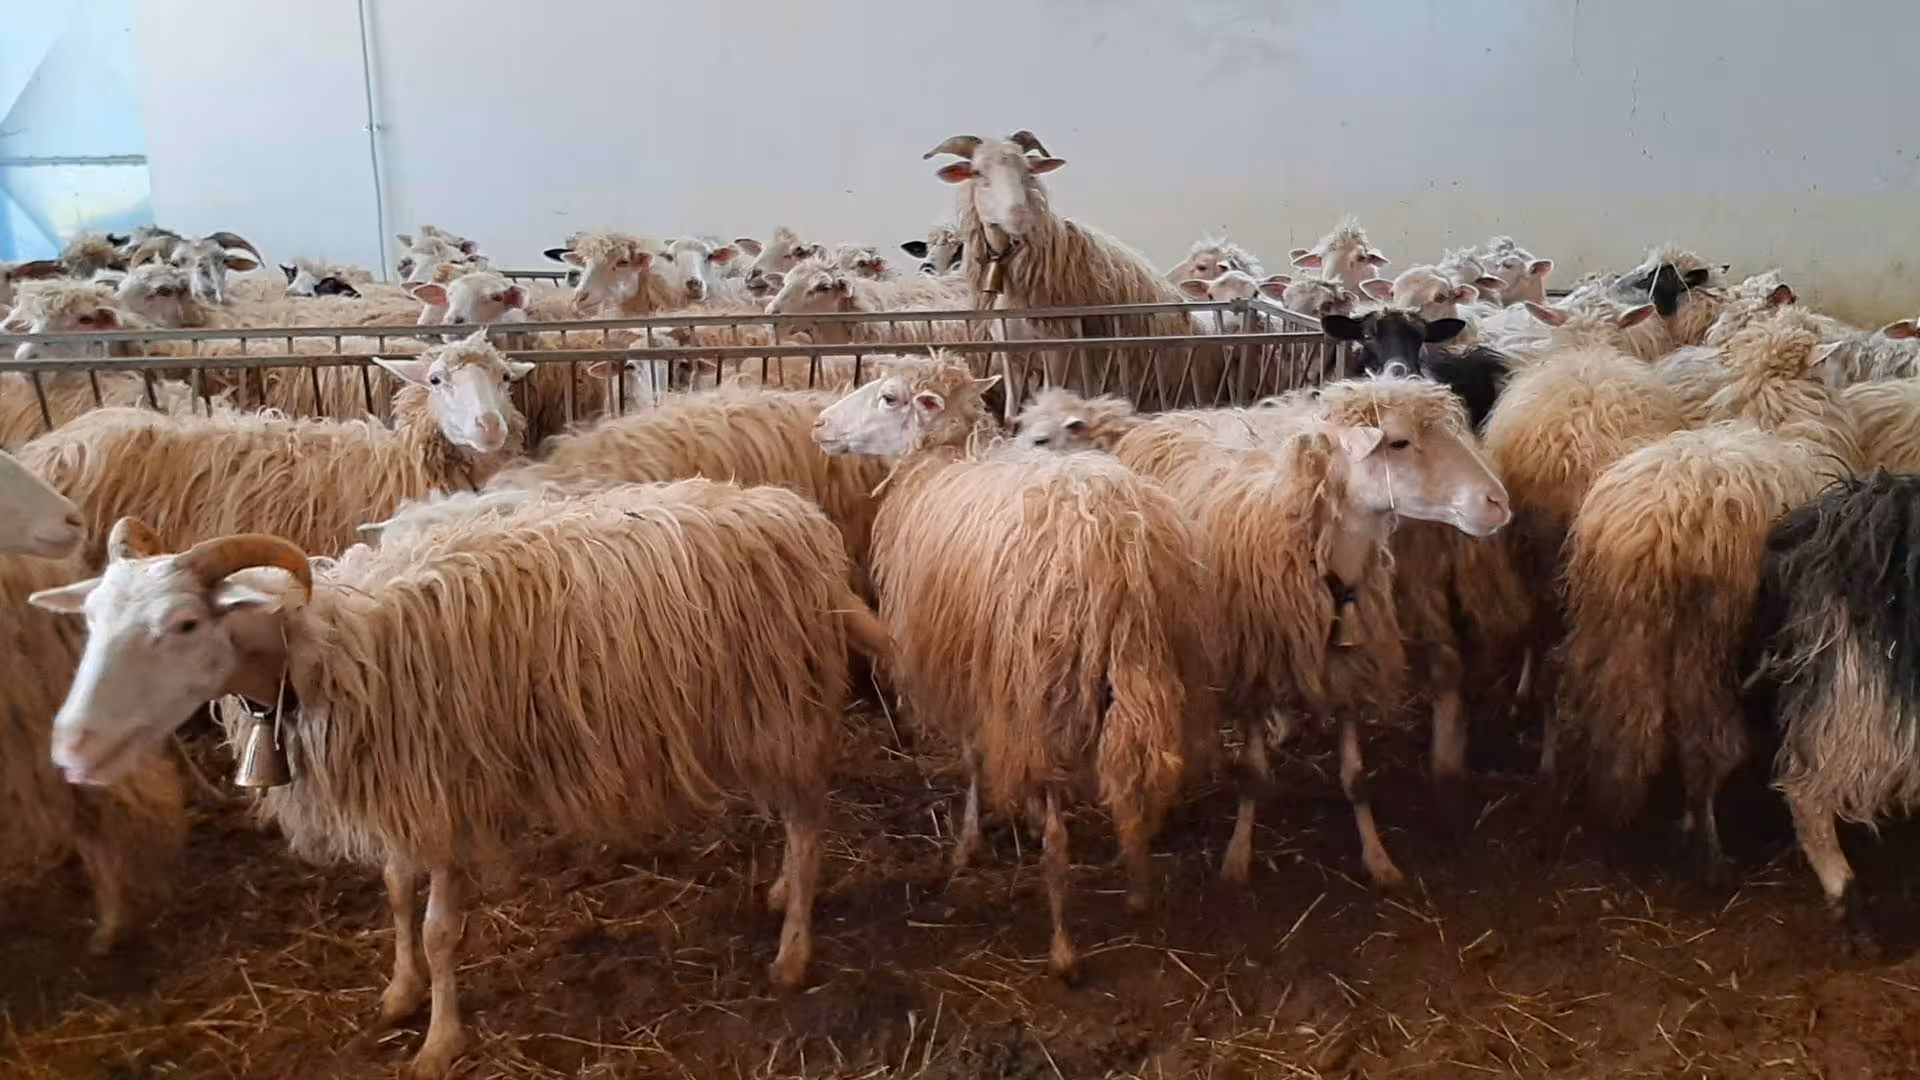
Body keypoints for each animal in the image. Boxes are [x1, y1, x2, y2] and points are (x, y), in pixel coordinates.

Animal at [31, 481, 881, 1078]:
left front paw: (440, 1041)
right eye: (91, 620)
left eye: (182, 625)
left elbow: (441, 930)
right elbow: (396, 895)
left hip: (780, 710)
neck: (330, 650)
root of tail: (801, 520)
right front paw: (400, 993)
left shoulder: (442, 792)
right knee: (792, 821)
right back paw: (779, 892)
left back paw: (793, 951)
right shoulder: (401, 792)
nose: (70, 749)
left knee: (809, 825)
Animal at [925, 131, 1207, 408]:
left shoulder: (1059, 354)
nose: (1019, 215)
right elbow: (1012, 412)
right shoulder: (1011, 357)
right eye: (977, 172)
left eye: (1028, 171)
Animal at [1113, 376, 1512, 885]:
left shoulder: (1347, 665)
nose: (1499, 502)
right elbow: (1253, 777)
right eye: (1399, 442)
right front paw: (1237, 858)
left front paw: (1378, 859)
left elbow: (1356, 779)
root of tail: (1168, 416)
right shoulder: (1254, 664)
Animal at [1557, 322, 1862, 874]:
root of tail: (1663, 526)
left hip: (1616, 620)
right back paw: (1707, 844)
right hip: (1710, 633)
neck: (1780, 418)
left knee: (1617, 715)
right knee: (1708, 741)